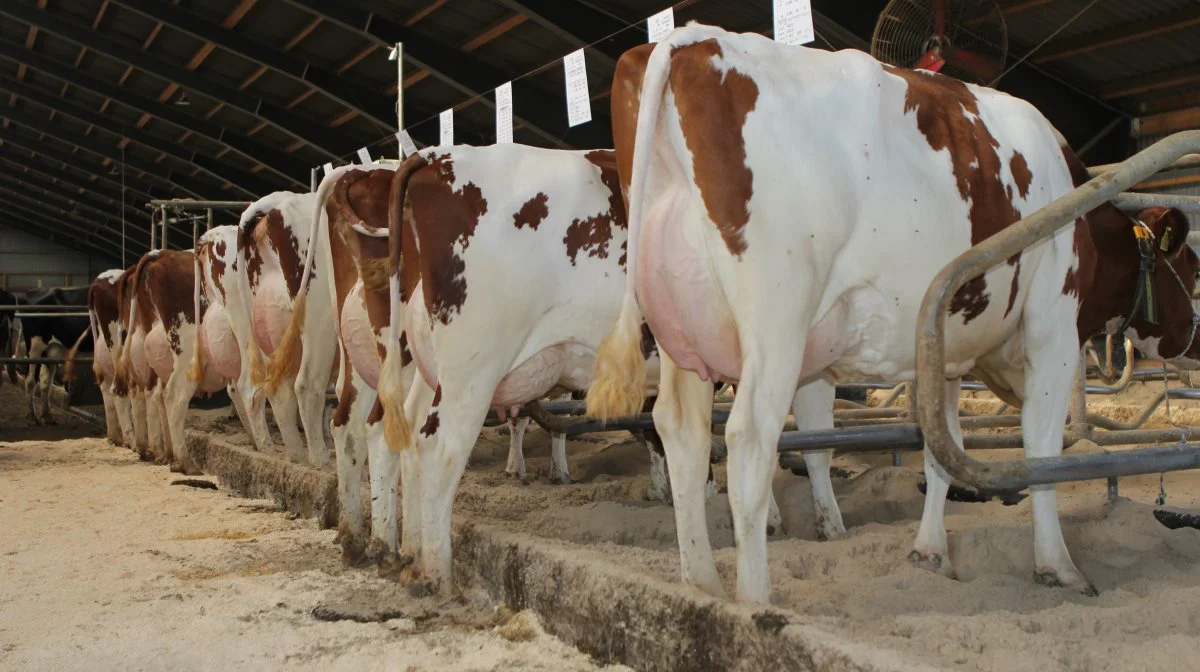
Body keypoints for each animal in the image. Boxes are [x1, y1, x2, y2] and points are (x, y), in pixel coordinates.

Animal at [236, 192, 331, 465]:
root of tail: (273, 204)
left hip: (267, 329)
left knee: (269, 388)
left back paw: (290, 454)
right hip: (320, 322)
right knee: (306, 386)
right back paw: (320, 460)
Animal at [585, 26, 1200, 604]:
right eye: (1192, 265)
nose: (1193, 338)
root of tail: (689, 40)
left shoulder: (945, 349)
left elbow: (942, 450)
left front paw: (930, 552)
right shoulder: (1054, 323)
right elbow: (1041, 445)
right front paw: (1059, 566)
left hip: (681, 329)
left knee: (680, 433)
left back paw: (702, 585)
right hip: (776, 321)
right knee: (749, 439)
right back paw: (754, 599)